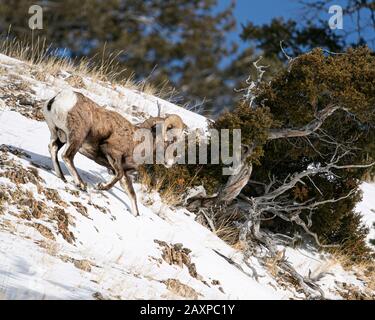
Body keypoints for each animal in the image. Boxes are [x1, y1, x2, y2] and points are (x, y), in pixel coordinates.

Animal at [43, 89, 187, 216]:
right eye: (170, 140)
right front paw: (101, 187)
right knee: (67, 156)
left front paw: (136, 215)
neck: (137, 143)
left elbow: (132, 195)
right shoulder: (112, 155)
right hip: (77, 137)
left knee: (53, 148)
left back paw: (62, 177)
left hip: (59, 135)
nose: (170, 163)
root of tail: (60, 98)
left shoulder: (126, 175)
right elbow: (118, 175)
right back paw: (81, 184)